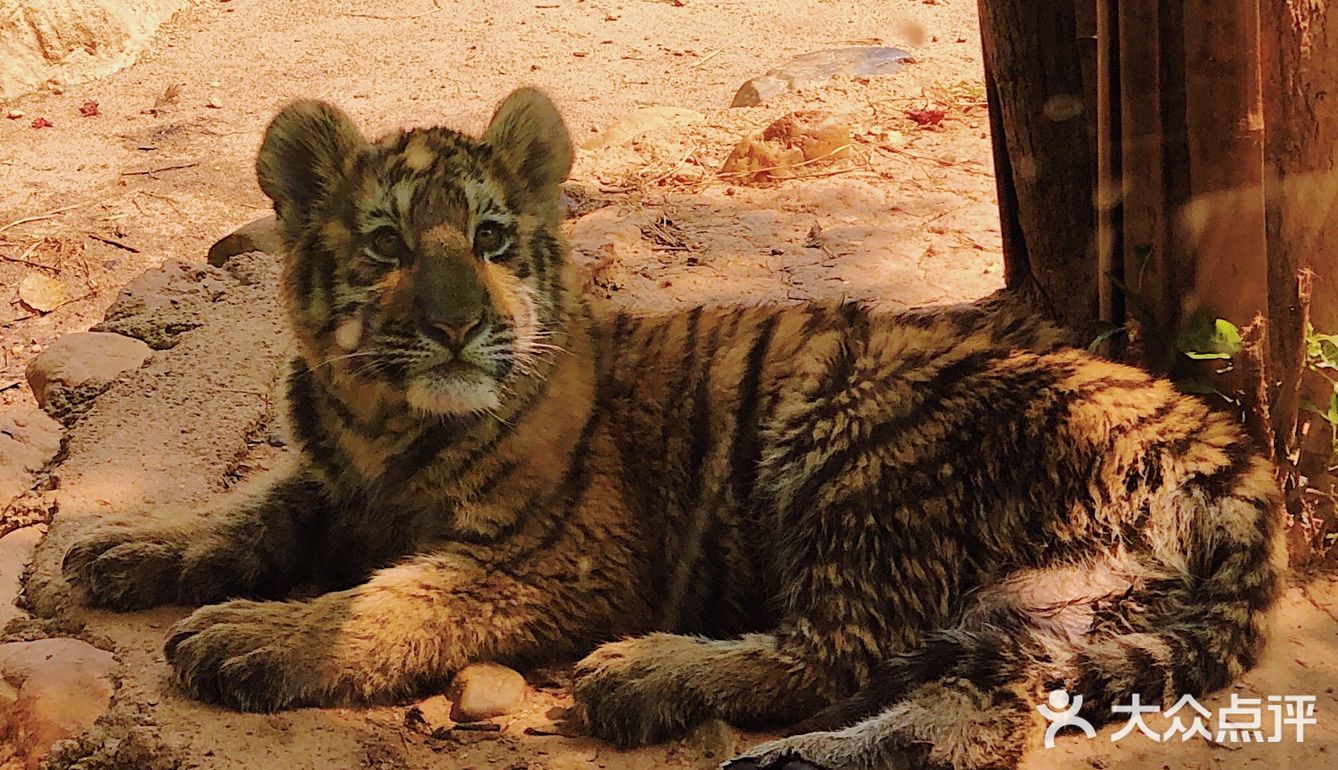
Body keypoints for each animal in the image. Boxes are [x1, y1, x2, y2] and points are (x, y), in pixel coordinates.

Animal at [58, 87, 1284, 770]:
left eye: (492, 237)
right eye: (388, 245)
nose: (456, 327)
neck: (383, 425)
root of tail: (1222, 445)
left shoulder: (557, 558)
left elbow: (385, 601)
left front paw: (251, 637)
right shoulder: (326, 479)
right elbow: (249, 510)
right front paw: (129, 545)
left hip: (856, 442)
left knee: (844, 650)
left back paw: (649, 677)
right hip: (1060, 596)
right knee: (980, 710)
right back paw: (795, 760)